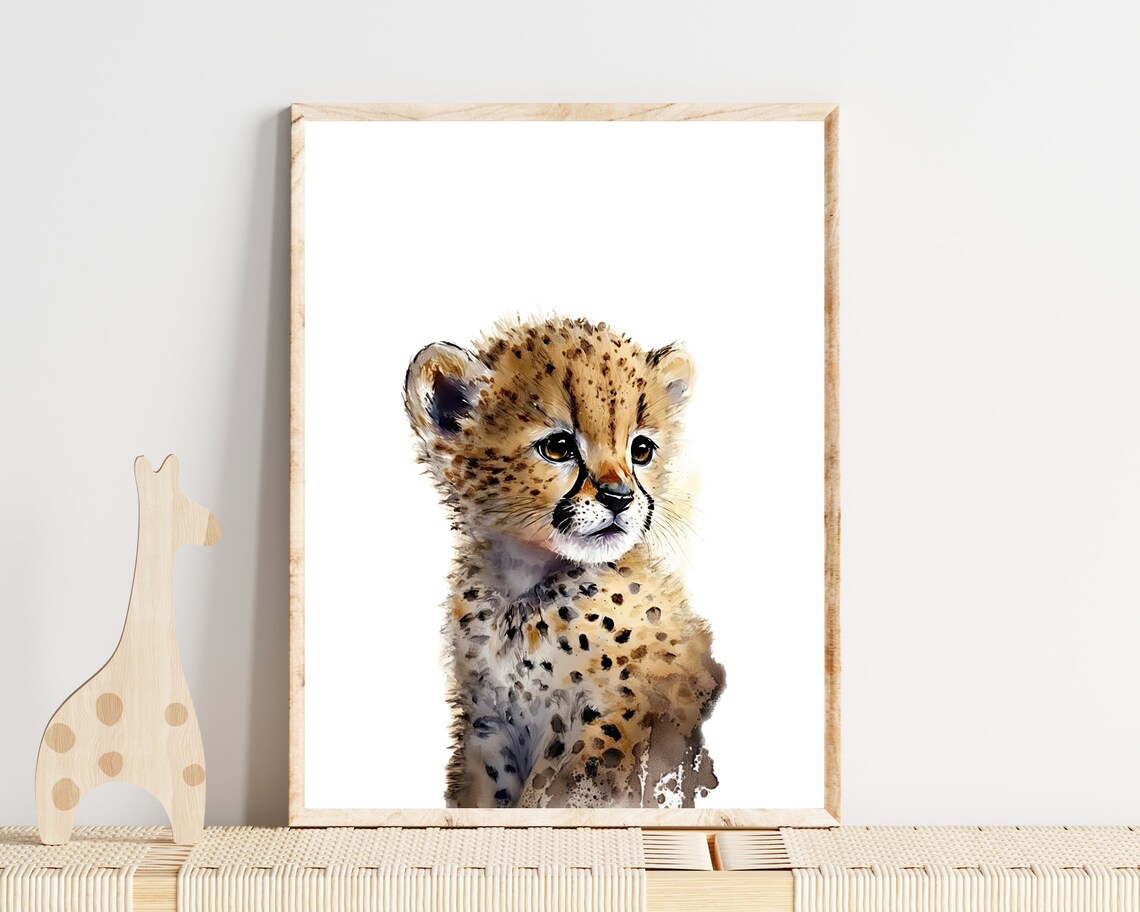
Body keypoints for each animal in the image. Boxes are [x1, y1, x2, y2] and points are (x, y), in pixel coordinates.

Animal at [404, 315, 724, 809]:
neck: (523, 592)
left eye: (641, 450)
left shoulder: (609, 720)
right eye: (558, 447)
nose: (619, 497)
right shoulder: (487, 724)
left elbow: (558, 790)